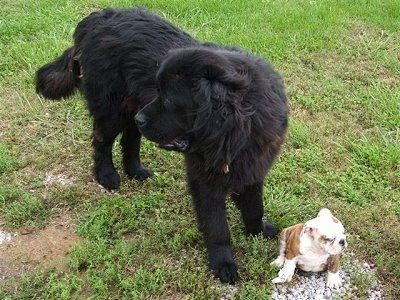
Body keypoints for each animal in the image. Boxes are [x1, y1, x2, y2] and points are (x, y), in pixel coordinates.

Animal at [36, 7, 290, 284]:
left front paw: (258, 231)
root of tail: (95, 19)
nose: (142, 118)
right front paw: (223, 264)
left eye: (168, 100)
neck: (238, 131)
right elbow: (217, 227)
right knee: (102, 140)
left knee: (131, 137)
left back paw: (135, 170)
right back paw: (107, 175)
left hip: (131, 107)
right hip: (114, 109)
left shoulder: (253, 168)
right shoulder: (205, 180)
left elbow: (254, 208)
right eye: (159, 92)